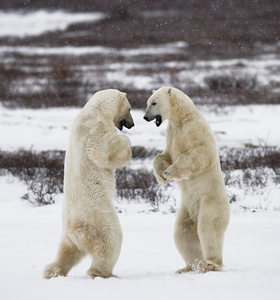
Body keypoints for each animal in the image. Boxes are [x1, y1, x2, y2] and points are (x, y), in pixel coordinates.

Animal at [43, 89, 135, 278]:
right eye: (129, 109)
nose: (132, 124)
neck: (95, 110)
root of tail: (75, 232)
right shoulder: (95, 129)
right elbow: (106, 151)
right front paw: (126, 142)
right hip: (99, 220)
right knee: (111, 241)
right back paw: (103, 273)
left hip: (68, 236)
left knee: (66, 251)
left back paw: (53, 270)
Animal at [144, 87, 230, 274]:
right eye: (147, 102)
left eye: (154, 102)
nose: (145, 117)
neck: (182, 117)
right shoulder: (171, 133)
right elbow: (164, 155)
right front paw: (162, 176)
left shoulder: (195, 129)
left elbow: (200, 152)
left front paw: (169, 172)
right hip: (187, 210)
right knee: (182, 233)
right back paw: (189, 266)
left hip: (210, 201)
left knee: (208, 227)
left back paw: (210, 264)